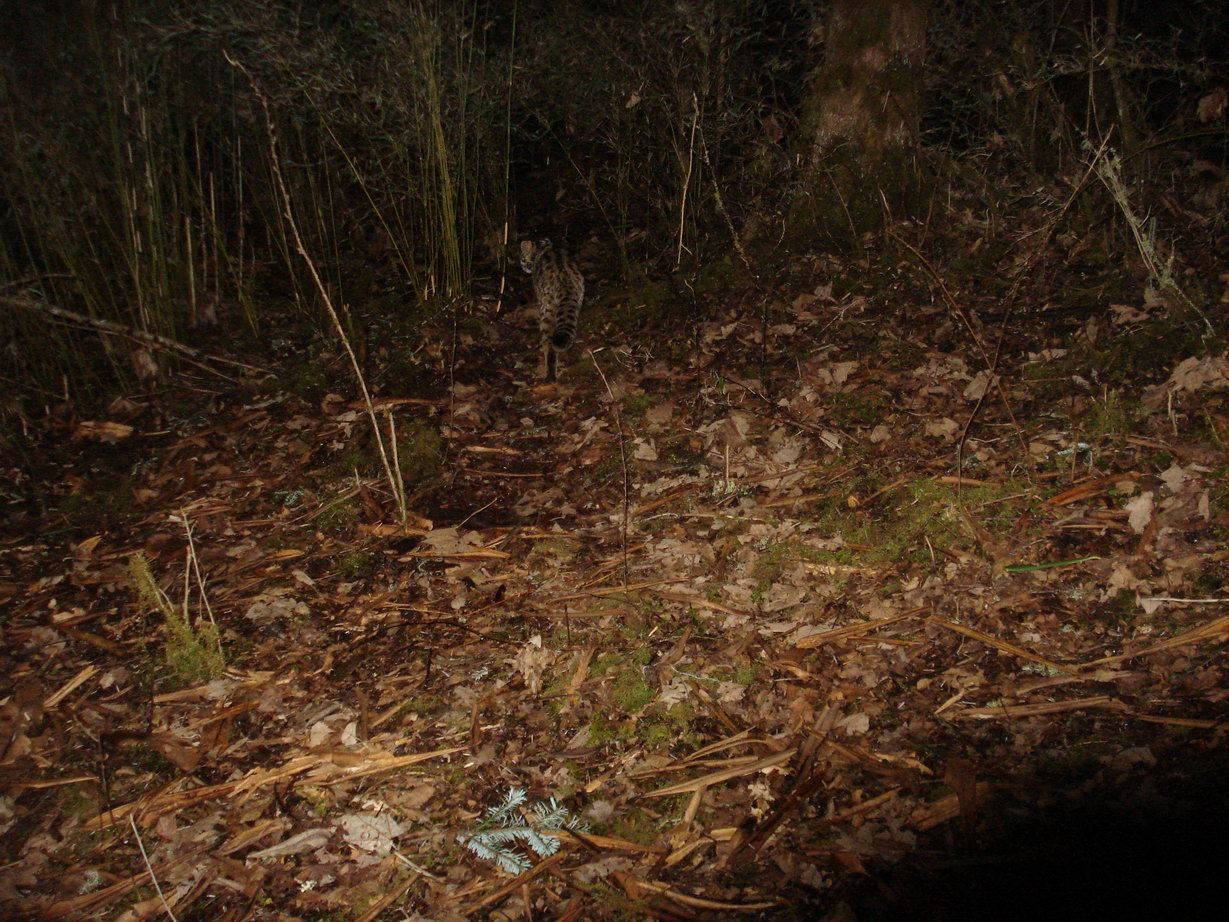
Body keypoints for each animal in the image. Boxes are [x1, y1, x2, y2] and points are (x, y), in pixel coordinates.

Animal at [518, 239, 585, 383]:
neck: (541, 247)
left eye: (523, 258)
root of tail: (565, 282)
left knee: (549, 342)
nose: (524, 267)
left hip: (547, 308)